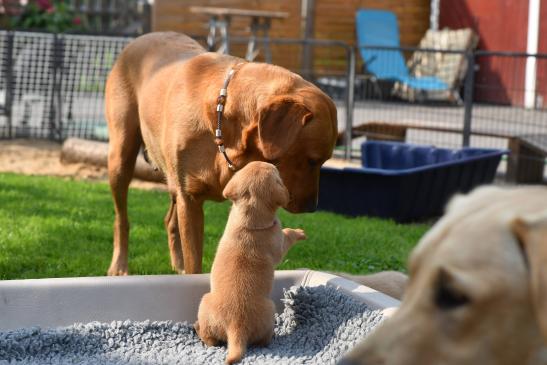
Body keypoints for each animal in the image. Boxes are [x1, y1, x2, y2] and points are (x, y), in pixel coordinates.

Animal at [105, 32, 338, 276]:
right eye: (313, 160)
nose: (312, 207)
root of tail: (141, 38)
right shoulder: (190, 200)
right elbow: (194, 260)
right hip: (121, 158)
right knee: (121, 219)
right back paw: (119, 265)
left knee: (169, 220)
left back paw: (177, 264)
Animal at [194, 162, 306, 364]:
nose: (270, 162)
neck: (249, 223)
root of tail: (236, 328)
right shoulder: (279, 244)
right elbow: (287, 234)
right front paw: (299, 232)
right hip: (269, 310)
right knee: (263, 340)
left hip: (206, 303)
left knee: (210, 340)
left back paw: (197, 328)